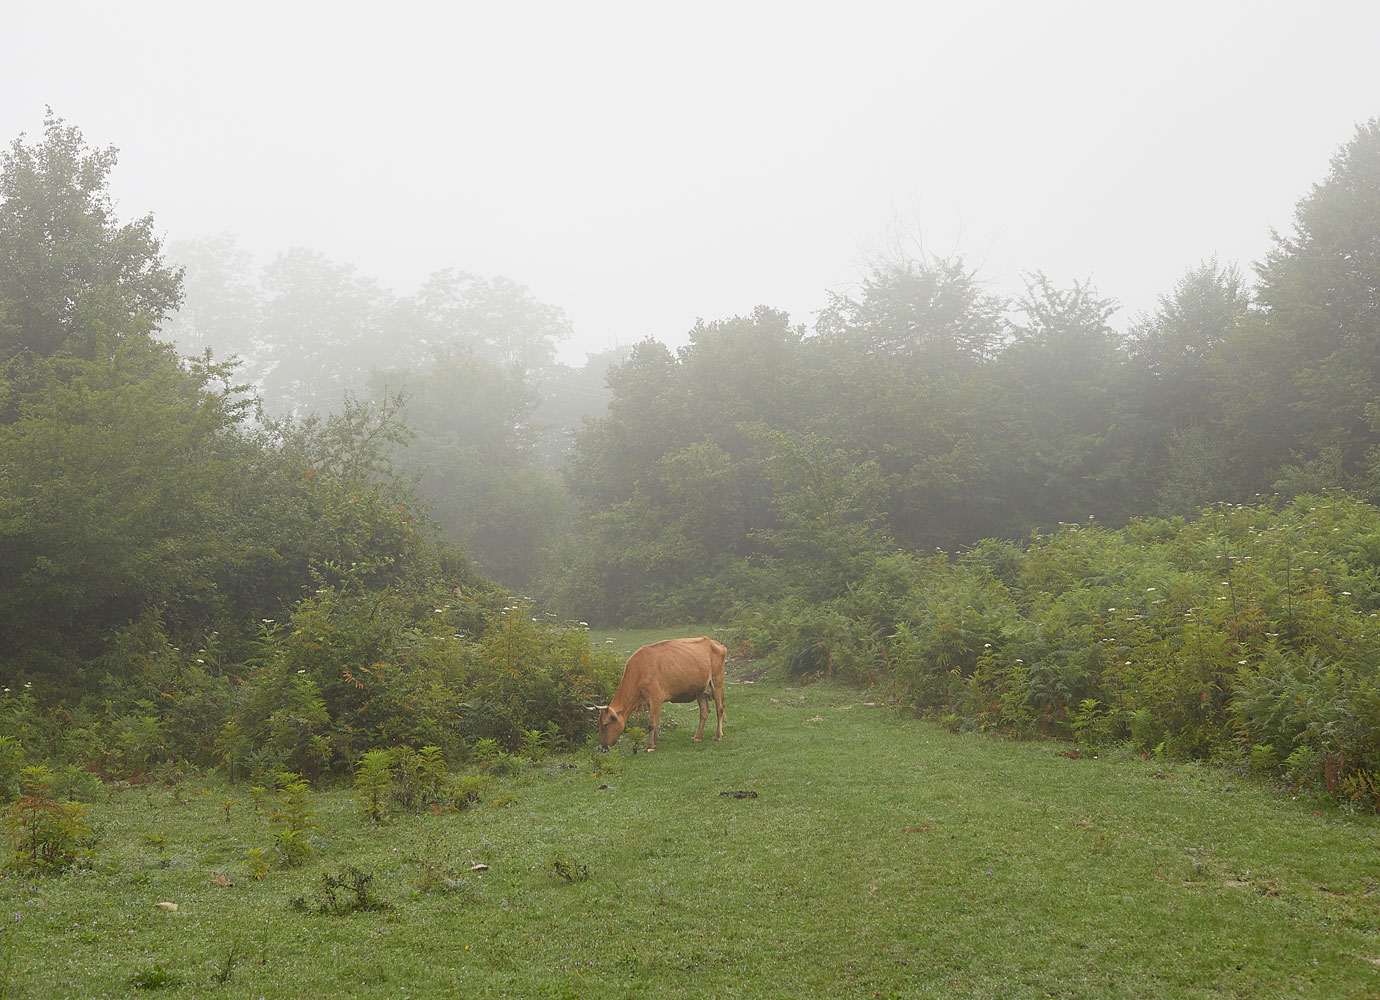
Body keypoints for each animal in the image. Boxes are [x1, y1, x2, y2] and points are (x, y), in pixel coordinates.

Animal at [590, 640, 728, 750]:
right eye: (598, 724)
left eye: (605, 724)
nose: (602, 746)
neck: (639, 669)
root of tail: (713, 642)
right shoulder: (649, 701)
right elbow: (656, 721)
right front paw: (655, 742)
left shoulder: (656, 697)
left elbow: (652, 723)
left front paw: (650, 746)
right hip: (700, 691)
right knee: (704, 711)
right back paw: (697, 737)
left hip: (717, 682)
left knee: (719, 709)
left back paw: (718, 736)